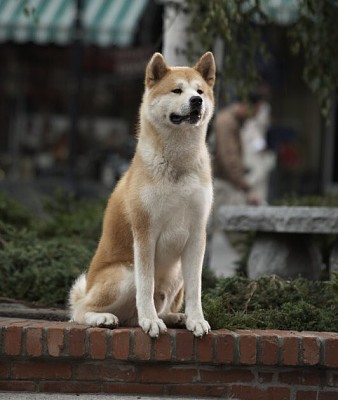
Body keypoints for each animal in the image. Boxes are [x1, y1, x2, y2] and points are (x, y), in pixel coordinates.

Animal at [69, 50, 217, 338]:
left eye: (200, 91)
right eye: (177, 90)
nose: (196, 101)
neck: (178, 164)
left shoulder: (197, 234)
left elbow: (196, 289)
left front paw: (196, 319)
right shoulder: (145, 231)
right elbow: (146, 286)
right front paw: (150, 321)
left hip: (176, 273)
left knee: (153, 309)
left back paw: (175, 317)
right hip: (125, 274)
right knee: (80, 311)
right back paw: (105, 318)